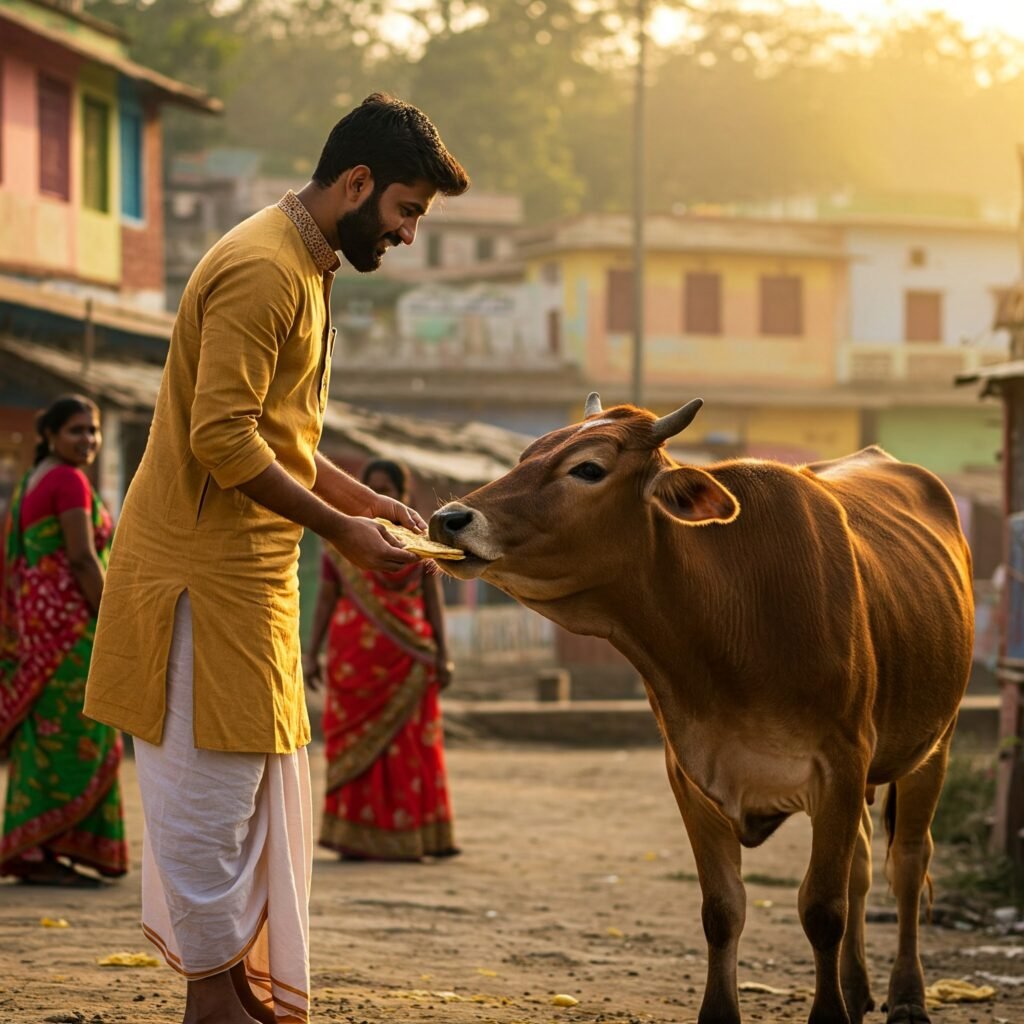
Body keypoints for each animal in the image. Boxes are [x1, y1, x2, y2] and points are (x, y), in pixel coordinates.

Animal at [429, 394, 974, 1024]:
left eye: (588, 468)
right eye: (526, 455)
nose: (448, 519)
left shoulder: (839, 767)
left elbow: (822, 909)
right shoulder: (692, 772)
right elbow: (723, 909)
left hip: (935, 745)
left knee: (907, 864)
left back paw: (905, 996)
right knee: (862, 867)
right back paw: (858, 988)